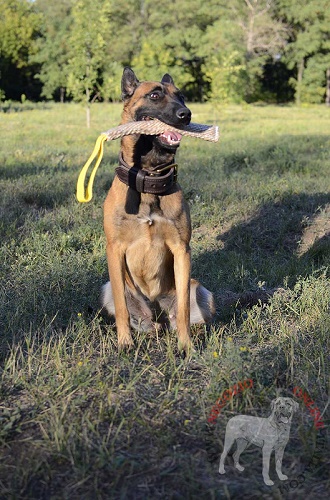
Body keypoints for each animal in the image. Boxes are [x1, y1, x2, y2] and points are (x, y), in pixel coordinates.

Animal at [102, 67, 215, 352]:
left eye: (181, 96)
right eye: (155, 95)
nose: (186, 114)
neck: (148, 178)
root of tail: (157, 313)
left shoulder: (182, 250)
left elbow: (184, 309)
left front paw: (186, 346)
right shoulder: (114, 249)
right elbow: (122, 309)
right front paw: (124, 343)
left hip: (202, 291)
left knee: (181, 315)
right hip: (109, 287)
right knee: (138, 317)